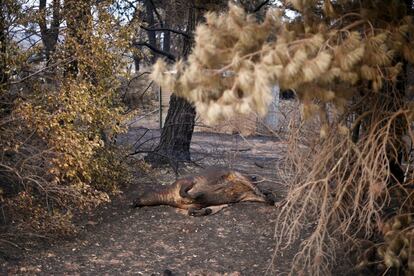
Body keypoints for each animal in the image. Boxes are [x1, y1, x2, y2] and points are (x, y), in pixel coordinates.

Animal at [132, 167, 274, 217]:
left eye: (140, 194)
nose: (133, 202)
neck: (170, 196)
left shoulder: (187, 182)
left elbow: (185, 192)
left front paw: (197, 194)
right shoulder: (195, 205)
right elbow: (192, 212)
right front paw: (207, 211)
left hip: (240, 177)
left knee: (258, 189)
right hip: (246, 196)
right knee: (261, 196)